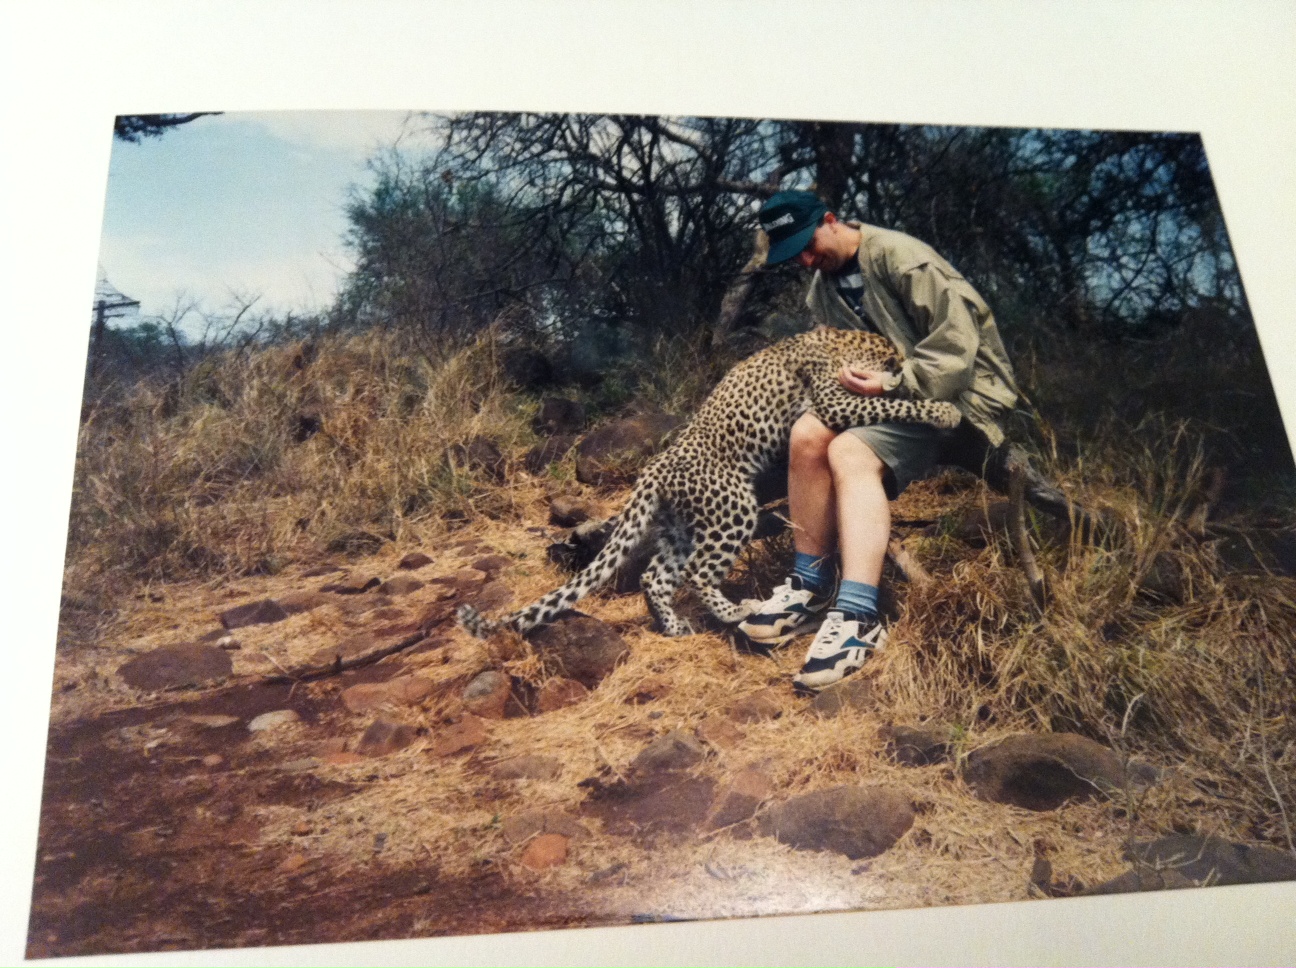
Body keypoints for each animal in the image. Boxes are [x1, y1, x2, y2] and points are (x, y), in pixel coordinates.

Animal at [456, 329, 964, 640]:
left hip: (680, 527)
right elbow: (892, 406)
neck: (838, 340)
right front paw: (943, 411)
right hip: (732, 510)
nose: (901, 370)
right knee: (699, 572)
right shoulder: (836, 402)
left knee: (655, 575)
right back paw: (739, 611)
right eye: (891, 359)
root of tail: (654, 470)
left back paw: (676, 627)